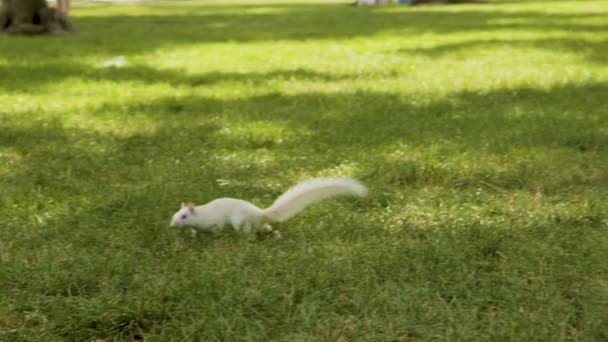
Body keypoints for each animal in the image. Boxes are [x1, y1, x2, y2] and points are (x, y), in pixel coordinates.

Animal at [170, 179, 366, 232]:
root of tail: (260, 214)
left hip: (239, 221)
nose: (172, 225)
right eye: (175, 214)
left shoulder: (214, 222)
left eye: (184, 216)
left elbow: (216, 229)